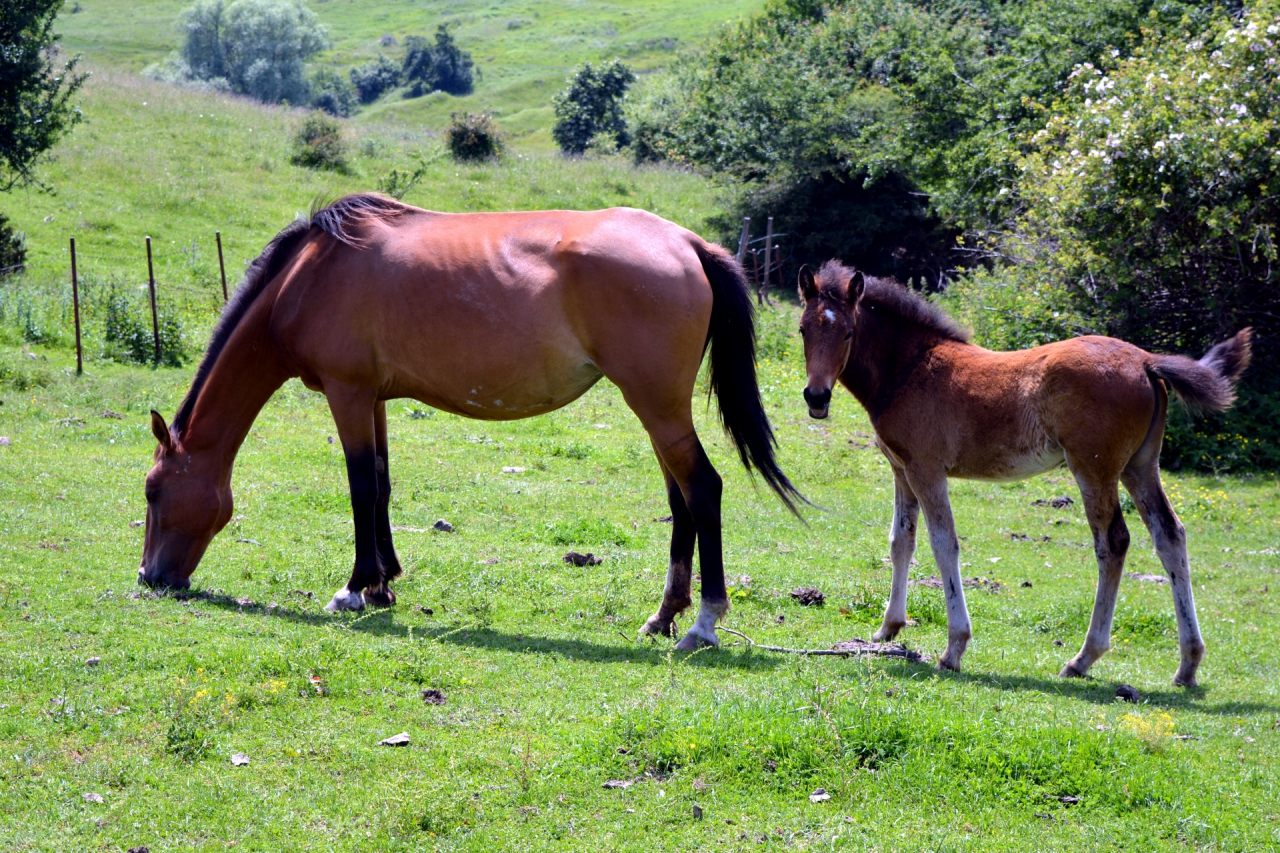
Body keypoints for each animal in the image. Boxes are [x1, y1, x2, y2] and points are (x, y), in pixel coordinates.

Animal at [140, 192, 798, 648]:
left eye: (152, 492)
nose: (150, 578)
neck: (307, 278)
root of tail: (688, 243)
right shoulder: (373, 397)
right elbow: (382, 483)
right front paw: (384, 583)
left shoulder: (346, 393)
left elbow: (359, 486)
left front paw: (354, 589)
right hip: (657, 408)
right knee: (681, 499)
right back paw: (663, 616)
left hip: (656, 404)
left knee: (703, 489)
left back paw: (704, 623)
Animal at [798, 258, 1249, 686]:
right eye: (804, 329)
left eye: (848, 333)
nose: (816, 397)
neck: (910, 368)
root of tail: (1145, 361)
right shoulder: (901, 469)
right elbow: (900, 542)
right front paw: (888, 628)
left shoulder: (927, 470)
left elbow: (944, 545)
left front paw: (954, 648)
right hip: (1140, 467)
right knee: (1169, 535)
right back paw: (1188, 664)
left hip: (1094, 469)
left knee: (1113, 542)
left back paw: (1084, 658)